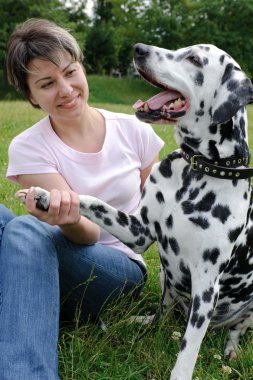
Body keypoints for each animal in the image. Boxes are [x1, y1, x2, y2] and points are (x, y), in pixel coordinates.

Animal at [18, 45, 253, 380]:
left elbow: (188, 349)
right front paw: (48, 197)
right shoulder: (139, 231)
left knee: (235, 330)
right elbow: (93, 201)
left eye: (194, 59)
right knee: (162, 315)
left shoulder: (206, 286)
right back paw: (139, 322)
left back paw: (232, 349)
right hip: (166, 280)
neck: (194, 171)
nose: (139, 49)